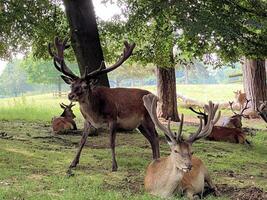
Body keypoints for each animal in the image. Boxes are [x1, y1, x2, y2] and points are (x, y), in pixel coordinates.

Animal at [49, 37, 160, 172]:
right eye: (71, 85)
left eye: (85, 86)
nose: (71, 95)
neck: (95, 113)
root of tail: (155, 97)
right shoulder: (87, 121)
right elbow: (82, 141)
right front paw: (73, 163)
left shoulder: (113, 118)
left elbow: (111, 142)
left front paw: (114, 166)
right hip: (140, 124)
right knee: (151, 138)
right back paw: (153, 160)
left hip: (149, 117)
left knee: (156, 136)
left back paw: (158, 160)